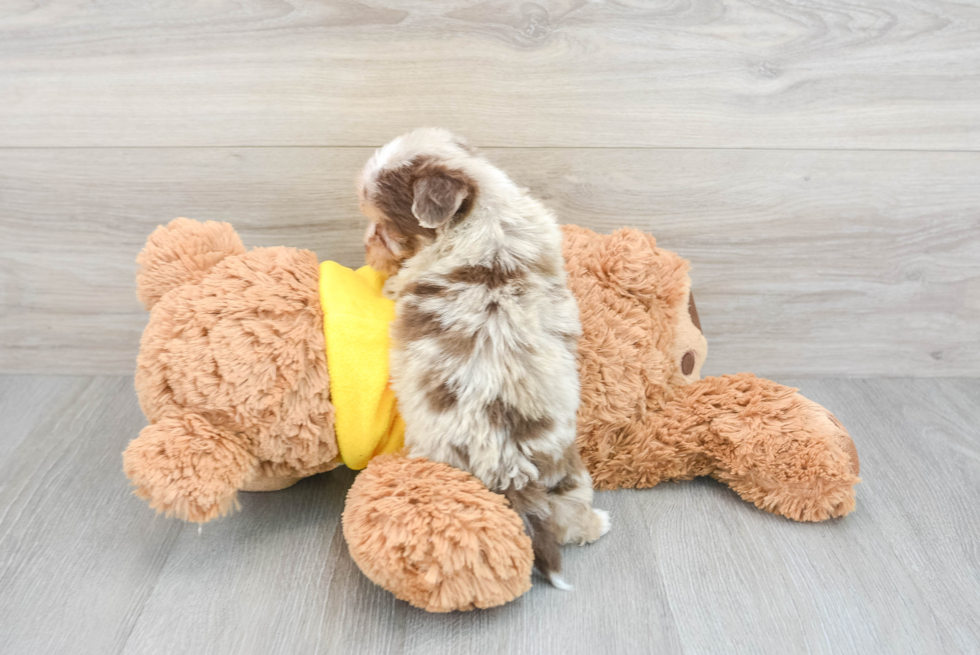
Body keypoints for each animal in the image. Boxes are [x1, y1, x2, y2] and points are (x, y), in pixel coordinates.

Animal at [356, 129, 608, 588]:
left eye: (383, 227)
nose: (367, 243)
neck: (481, 211)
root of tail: (511, 466)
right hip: (568, 468)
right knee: (568, 516)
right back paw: (597, 523)